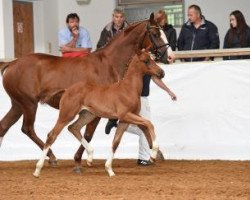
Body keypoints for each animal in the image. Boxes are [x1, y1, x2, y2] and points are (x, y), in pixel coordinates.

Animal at [33, 50, 166, 177]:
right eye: (146, 61)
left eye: (154, 59)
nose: (162, 73)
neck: (128, 89)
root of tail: (67, 90)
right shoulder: (125, 115)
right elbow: (149, 124)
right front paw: (154, 153)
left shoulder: (127, 119)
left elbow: (117, 142)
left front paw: (110, 170)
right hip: (67, 115)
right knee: (52, 135)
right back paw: (38, 170)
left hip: (88, 115)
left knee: (73, 128)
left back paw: (90, 157)